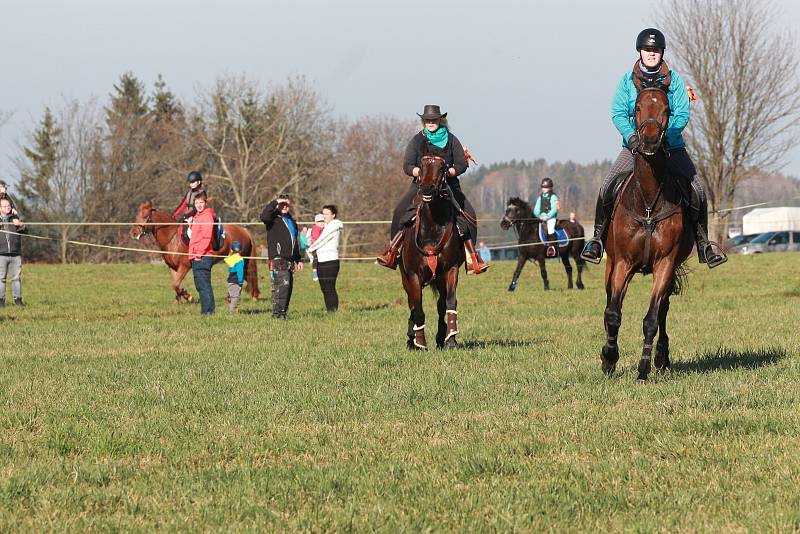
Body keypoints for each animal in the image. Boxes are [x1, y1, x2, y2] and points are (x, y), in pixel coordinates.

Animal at [129, 203, 260, 304]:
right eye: (137, 216)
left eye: (145, 216)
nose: (133, 233)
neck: (173, 238)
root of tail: (244, 230)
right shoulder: (173, 268)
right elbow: (175, 284)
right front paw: (178, 300)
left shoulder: (184, 266)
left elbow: (175, 284)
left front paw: (188, 297)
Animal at [398, 151, 466, 352]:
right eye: (422, 165)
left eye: (442, 167)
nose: (427, 189)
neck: (432, 230)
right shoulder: (413, 276)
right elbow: (418, 308)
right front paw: (419, 342)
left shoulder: (451, 271)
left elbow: (450, 303)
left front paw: (450, 340)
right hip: (406, 278)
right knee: (412, 305)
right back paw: (411, 339)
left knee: (441, 305)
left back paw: (441, 338)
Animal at [600, 82, 692, 386]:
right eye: (638, 107)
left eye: (666, 108)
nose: (650, 142)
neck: (649, 201)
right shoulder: (623, 263)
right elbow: (613, 314)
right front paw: (608, 359)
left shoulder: (665, 263)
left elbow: (652, 319)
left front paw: (643, 369)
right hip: (610, 264)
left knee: (662, 310)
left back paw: (661, 358)